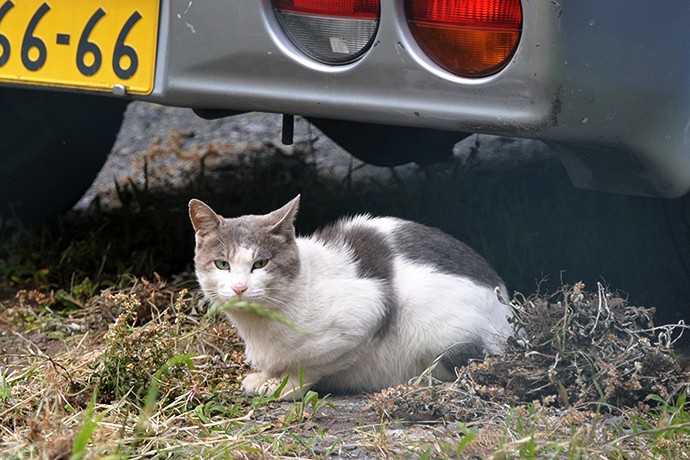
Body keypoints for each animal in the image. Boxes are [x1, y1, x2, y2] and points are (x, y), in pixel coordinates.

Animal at [188, 194, 510, 398]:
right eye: (222, 264)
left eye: (260, 263)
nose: (239, 288)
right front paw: (266, 377)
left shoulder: (366, 312)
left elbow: (310, 365)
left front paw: (284, 385)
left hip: (436, 324)